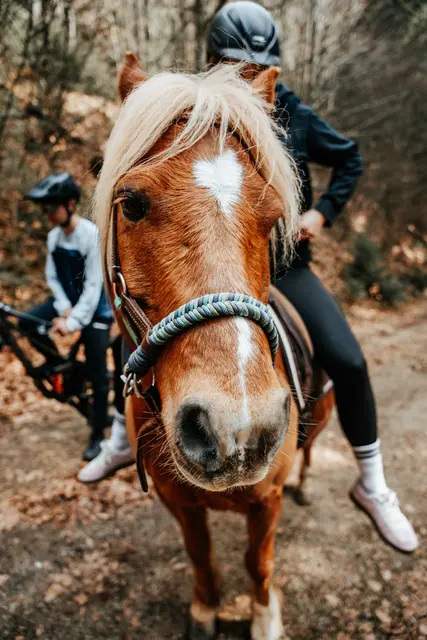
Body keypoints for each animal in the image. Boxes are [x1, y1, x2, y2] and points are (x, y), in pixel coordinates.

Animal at [94, 52, 334, 640]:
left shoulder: (266, 501)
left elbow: (258, 562)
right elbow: (201, 552)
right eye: (131, 203)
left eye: (274, 217)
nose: (238, 428)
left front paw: (264, 617)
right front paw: (206, 610)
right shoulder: (178, 500)